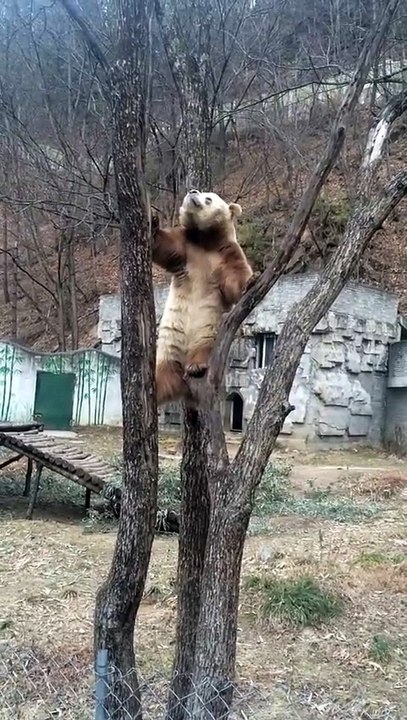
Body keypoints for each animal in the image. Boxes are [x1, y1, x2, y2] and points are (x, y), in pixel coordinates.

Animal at [152, 189, 253, 405]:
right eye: (200, 191)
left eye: (209, 198)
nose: (193, 192)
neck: (205, 241)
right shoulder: (186, 247)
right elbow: (165, 247)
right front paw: (153, 224)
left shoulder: (226, 253)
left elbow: (235, 275)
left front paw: (251, 280)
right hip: (168, 345)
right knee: (164, 370)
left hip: (208, 330)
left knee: (204, 347)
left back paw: (196, 366)